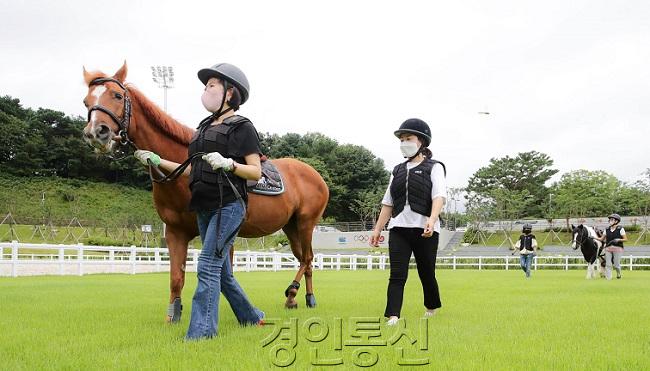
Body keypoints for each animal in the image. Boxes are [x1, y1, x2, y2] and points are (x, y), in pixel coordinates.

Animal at [81, 62, 326, 322]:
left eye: (117, 96)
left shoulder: (222, 234)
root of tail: (315, 175)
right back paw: (299, 297)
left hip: (306, 223)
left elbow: (220, 276)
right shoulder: (175, 232)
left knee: (308, 258)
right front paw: (173, 316)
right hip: (290, 226)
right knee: (304, 259)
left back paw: (297, 294)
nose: (96, 132)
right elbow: (176, 278)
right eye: (86, 102)